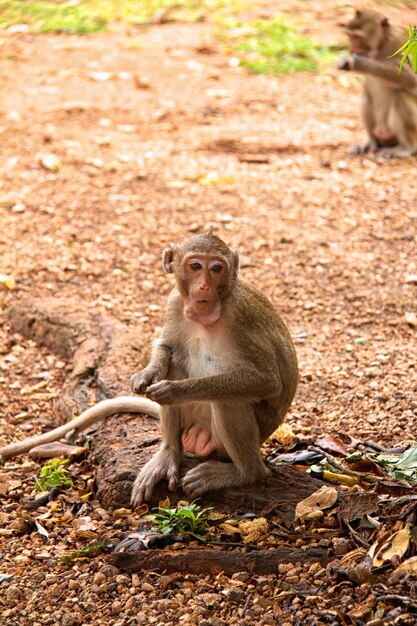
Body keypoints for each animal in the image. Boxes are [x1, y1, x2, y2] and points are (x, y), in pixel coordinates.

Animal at [128, 232, 298, 504]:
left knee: (229, 400)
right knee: (175, 363)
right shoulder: (175, 301)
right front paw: (147, 374)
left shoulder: (240, 314)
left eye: (217, 269)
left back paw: (244, 473)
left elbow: (267, 381)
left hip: (225, 443)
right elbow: (166, 347)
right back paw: (169, 454)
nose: (204, 286)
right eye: (196, 266)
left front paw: (173, 391)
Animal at [336, 8, 416, 157]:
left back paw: (406, 147)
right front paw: (344, 61)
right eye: (350, 36)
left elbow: (411, 78)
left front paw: (358, 62)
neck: (381, 46)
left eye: (358, 38)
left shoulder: (400, 43)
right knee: (367, 96)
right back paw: (370, 142)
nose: (351, 49)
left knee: (400, 97)